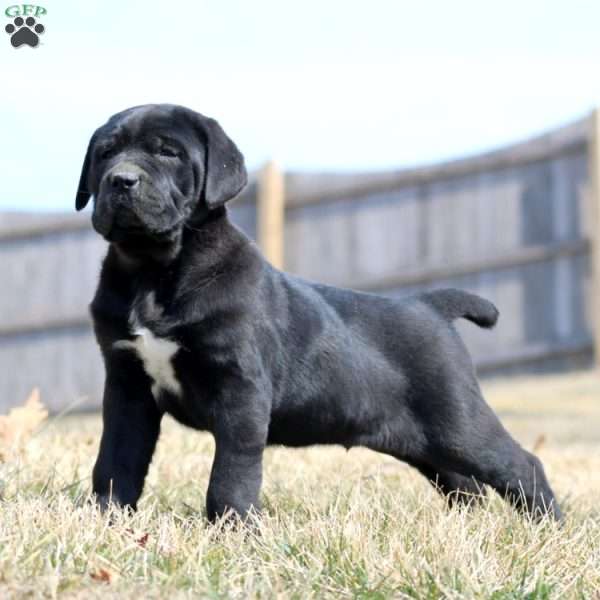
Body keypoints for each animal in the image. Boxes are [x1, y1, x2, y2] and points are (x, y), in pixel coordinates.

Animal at [75, 105, 564, 524]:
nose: (121, 180)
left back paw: (550, 527)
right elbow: (117, 458)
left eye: (168, 152)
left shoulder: (240, 389)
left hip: (458, 420)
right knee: (466, 484)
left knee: (522, 465)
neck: (152, 270)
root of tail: (431, 305)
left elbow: (232, 470)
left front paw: (232, 527)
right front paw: (107, 518)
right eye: (105, 154)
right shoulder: (128, 385)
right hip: (428, 442)